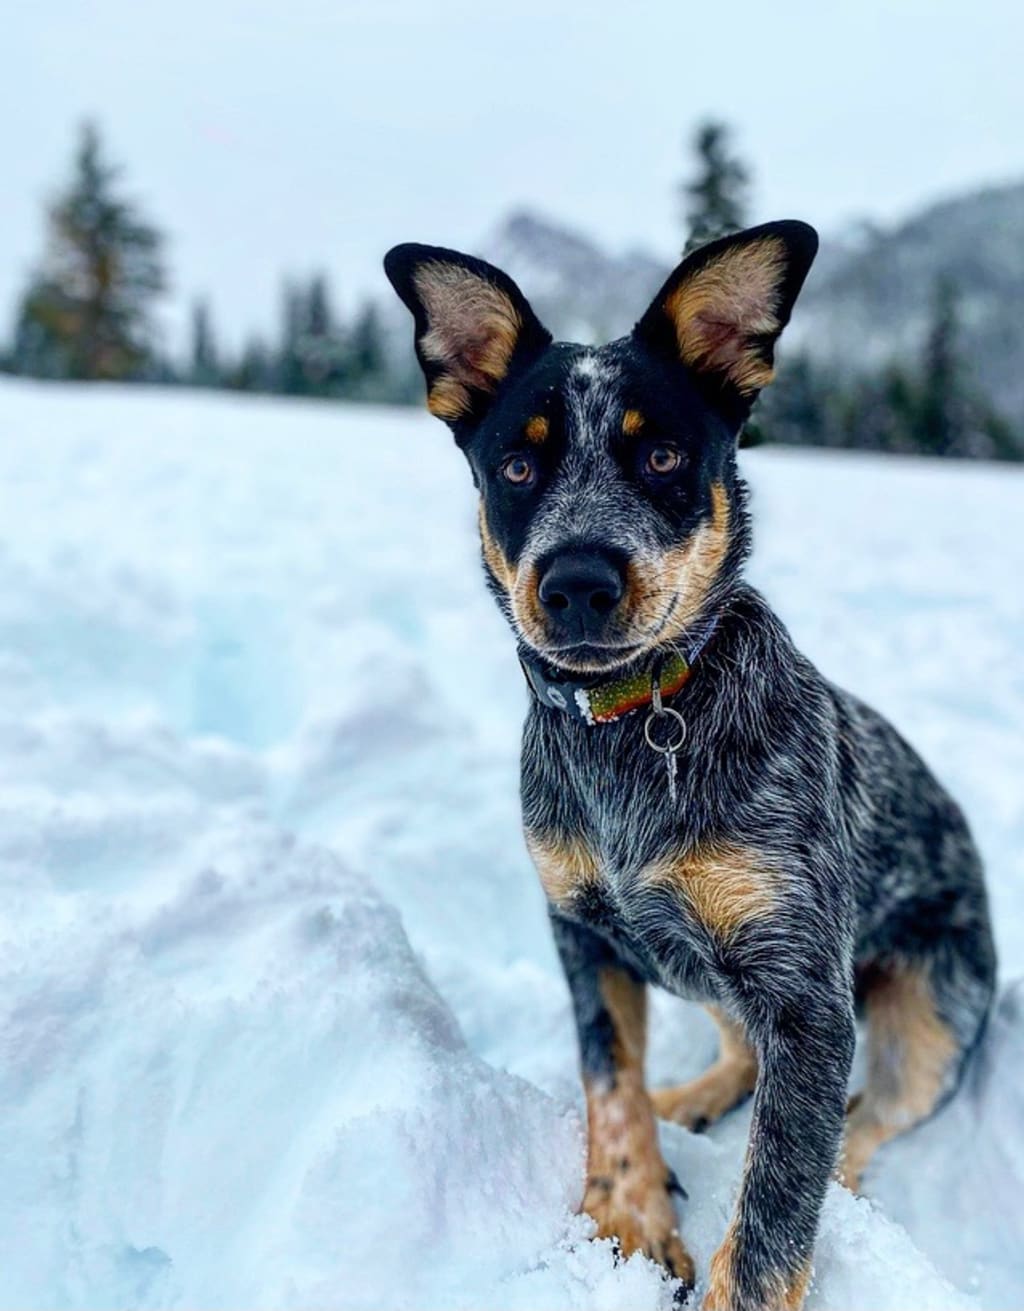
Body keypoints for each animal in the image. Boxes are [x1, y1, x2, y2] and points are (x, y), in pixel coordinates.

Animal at [384, 222, 996, 1310]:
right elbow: (610, 1080)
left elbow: (774, 1210)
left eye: (663, 454)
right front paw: (625, 1214)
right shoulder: (582, 932)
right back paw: (693, 1099)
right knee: (740, 1058)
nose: (578, 580)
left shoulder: (804, 986)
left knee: (863, 1119)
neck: (633, 725)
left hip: (932, 1007)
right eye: (517, 465)